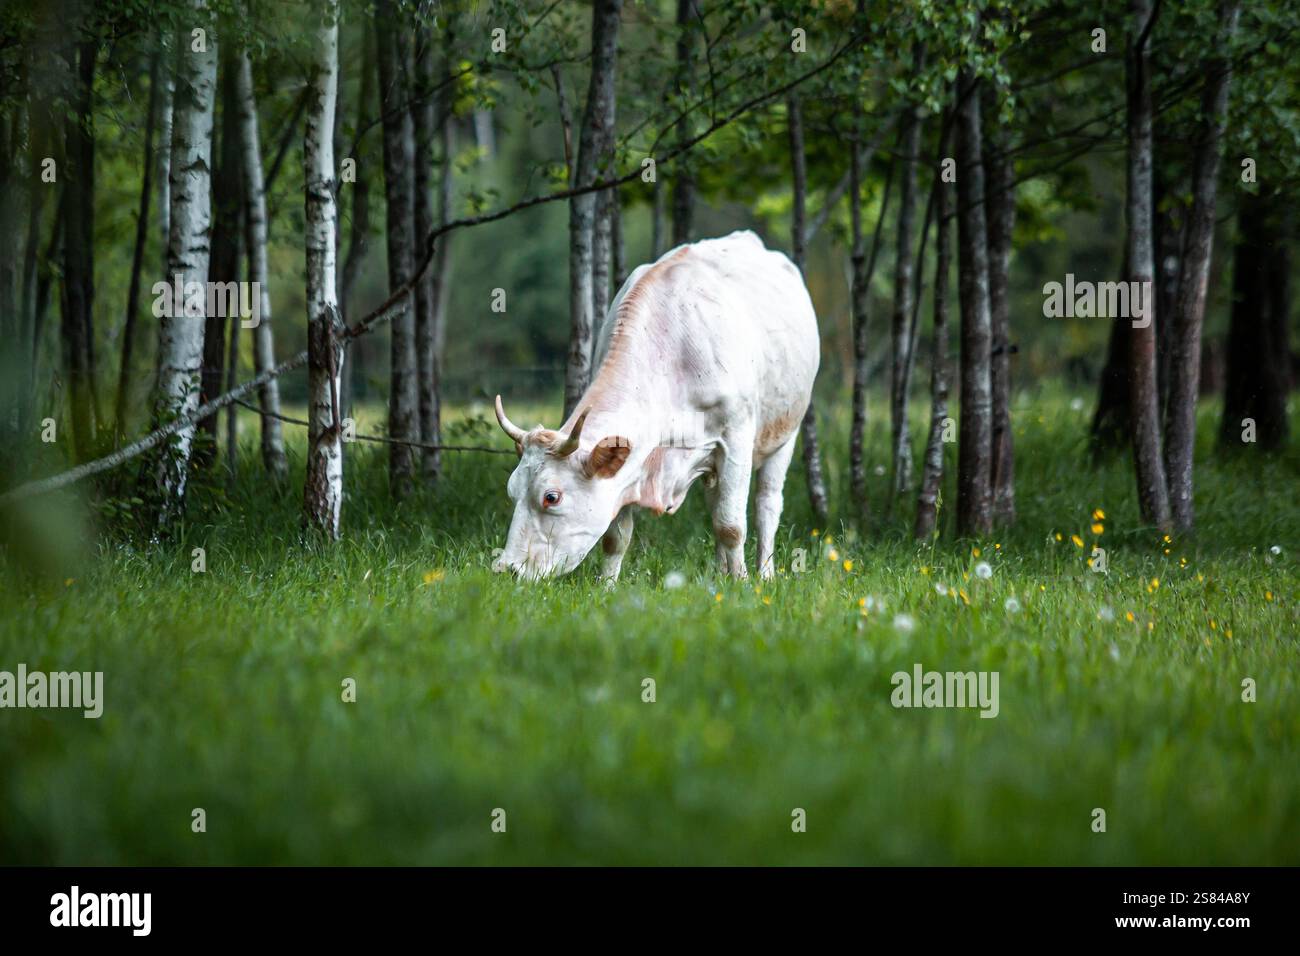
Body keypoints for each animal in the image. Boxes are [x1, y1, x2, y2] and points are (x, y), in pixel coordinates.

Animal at [492, 230, 819, 581]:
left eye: (551, 497)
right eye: (511, 490)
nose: (506, 569)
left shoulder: (736, 438)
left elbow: (731, 525)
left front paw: (743, 583)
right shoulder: (634, 460)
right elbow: (617, 536)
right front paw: (606, 585)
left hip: (786, 433)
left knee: (766, 504)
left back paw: (764, 573)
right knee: (716, 502)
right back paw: (720, 573)